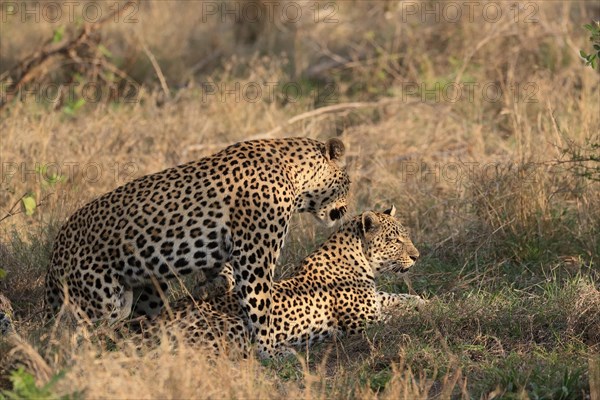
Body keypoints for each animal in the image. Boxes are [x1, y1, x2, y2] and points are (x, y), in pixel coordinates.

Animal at [44, 137, 350, 356]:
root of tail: (55, 253)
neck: (296, 176)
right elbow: (260, 303)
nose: (347, 209)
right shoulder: (255, 255)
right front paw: (269, 349)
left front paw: (213, 287)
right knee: (81, 336)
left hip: (147, 288)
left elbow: (227, 277)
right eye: (348, 183)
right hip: (102, 302)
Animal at [136, 206, 424, 356]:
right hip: (235, 326)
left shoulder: (375, 299)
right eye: (395, 240)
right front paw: (425, 311)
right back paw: (288, 351)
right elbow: (397, 317)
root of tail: (147, 325)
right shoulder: (364, 322)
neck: (359, 259)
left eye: (405, 236)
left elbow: (398, 298)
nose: (417, 256)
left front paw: (424, 301)